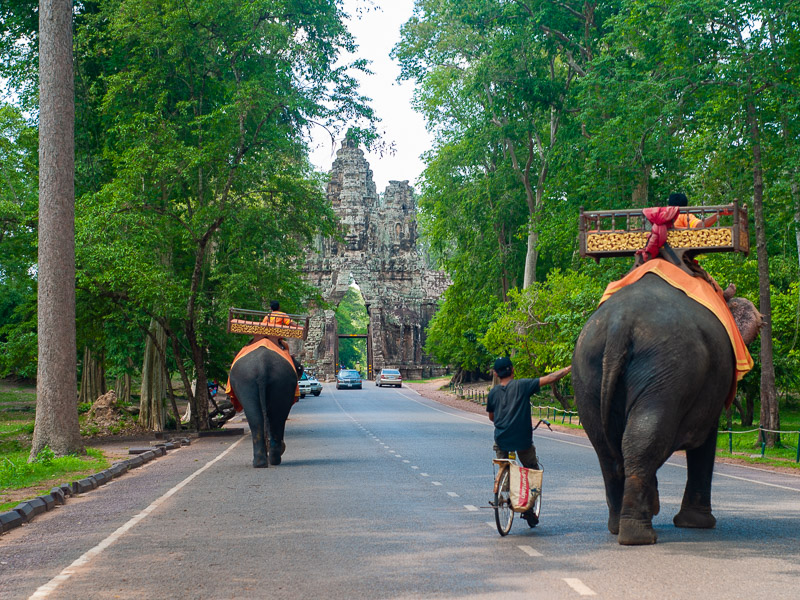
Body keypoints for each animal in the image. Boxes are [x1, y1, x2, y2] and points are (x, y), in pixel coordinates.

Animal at [572, 270, 760, 548]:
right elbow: (705, 440)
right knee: (645, 438)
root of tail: (619, 325)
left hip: (587, 372)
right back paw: (639, 536)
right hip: (667, 369)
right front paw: (697, 523)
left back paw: (618, 527)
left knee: (607, 448)